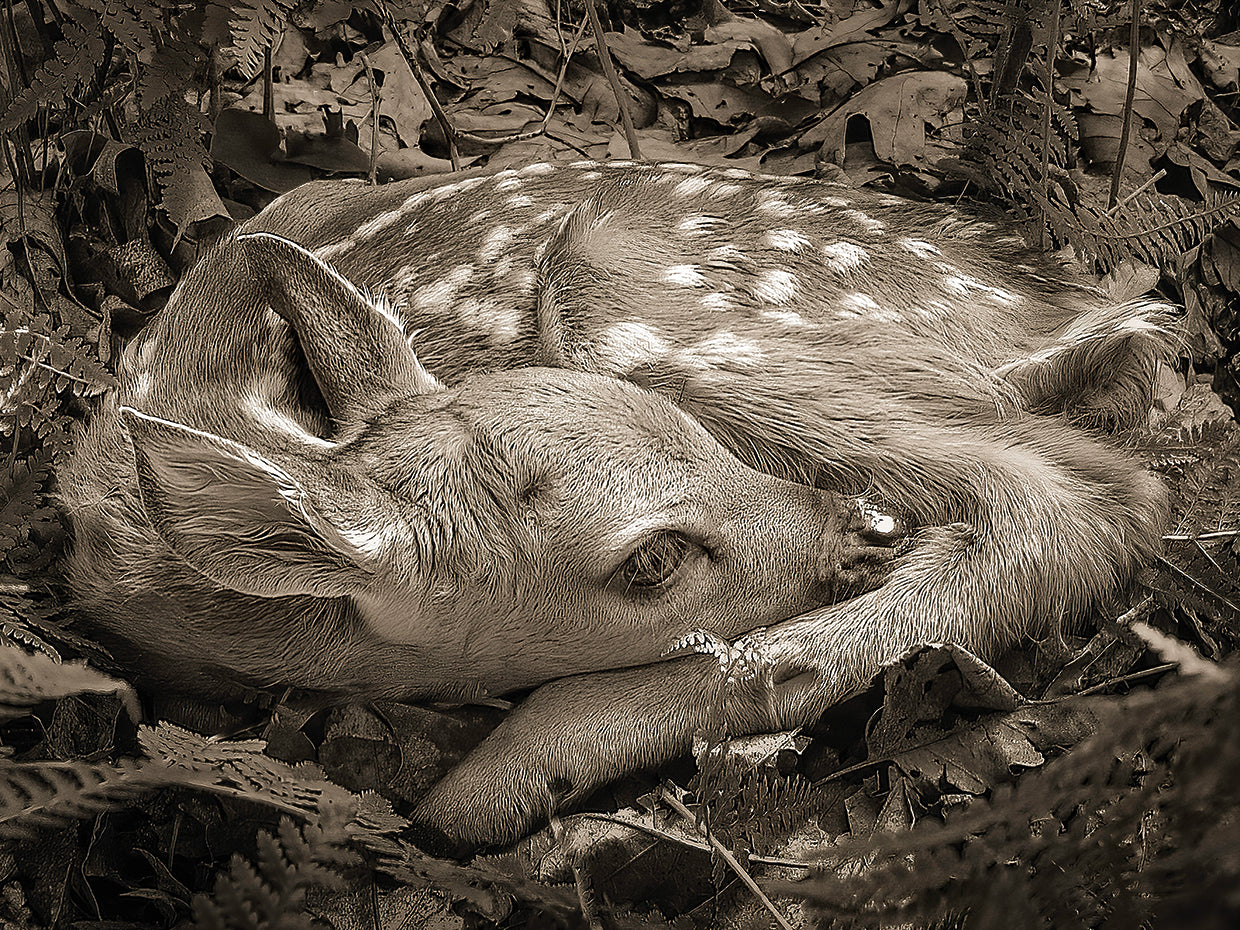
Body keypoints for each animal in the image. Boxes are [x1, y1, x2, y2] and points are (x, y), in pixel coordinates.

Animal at [57, 160, 1173, 848]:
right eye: (650, 561)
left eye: (688, 435)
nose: (854, 528)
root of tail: (1067, 308)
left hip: (628, 302)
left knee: (1074, 500)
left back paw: (500, 778)